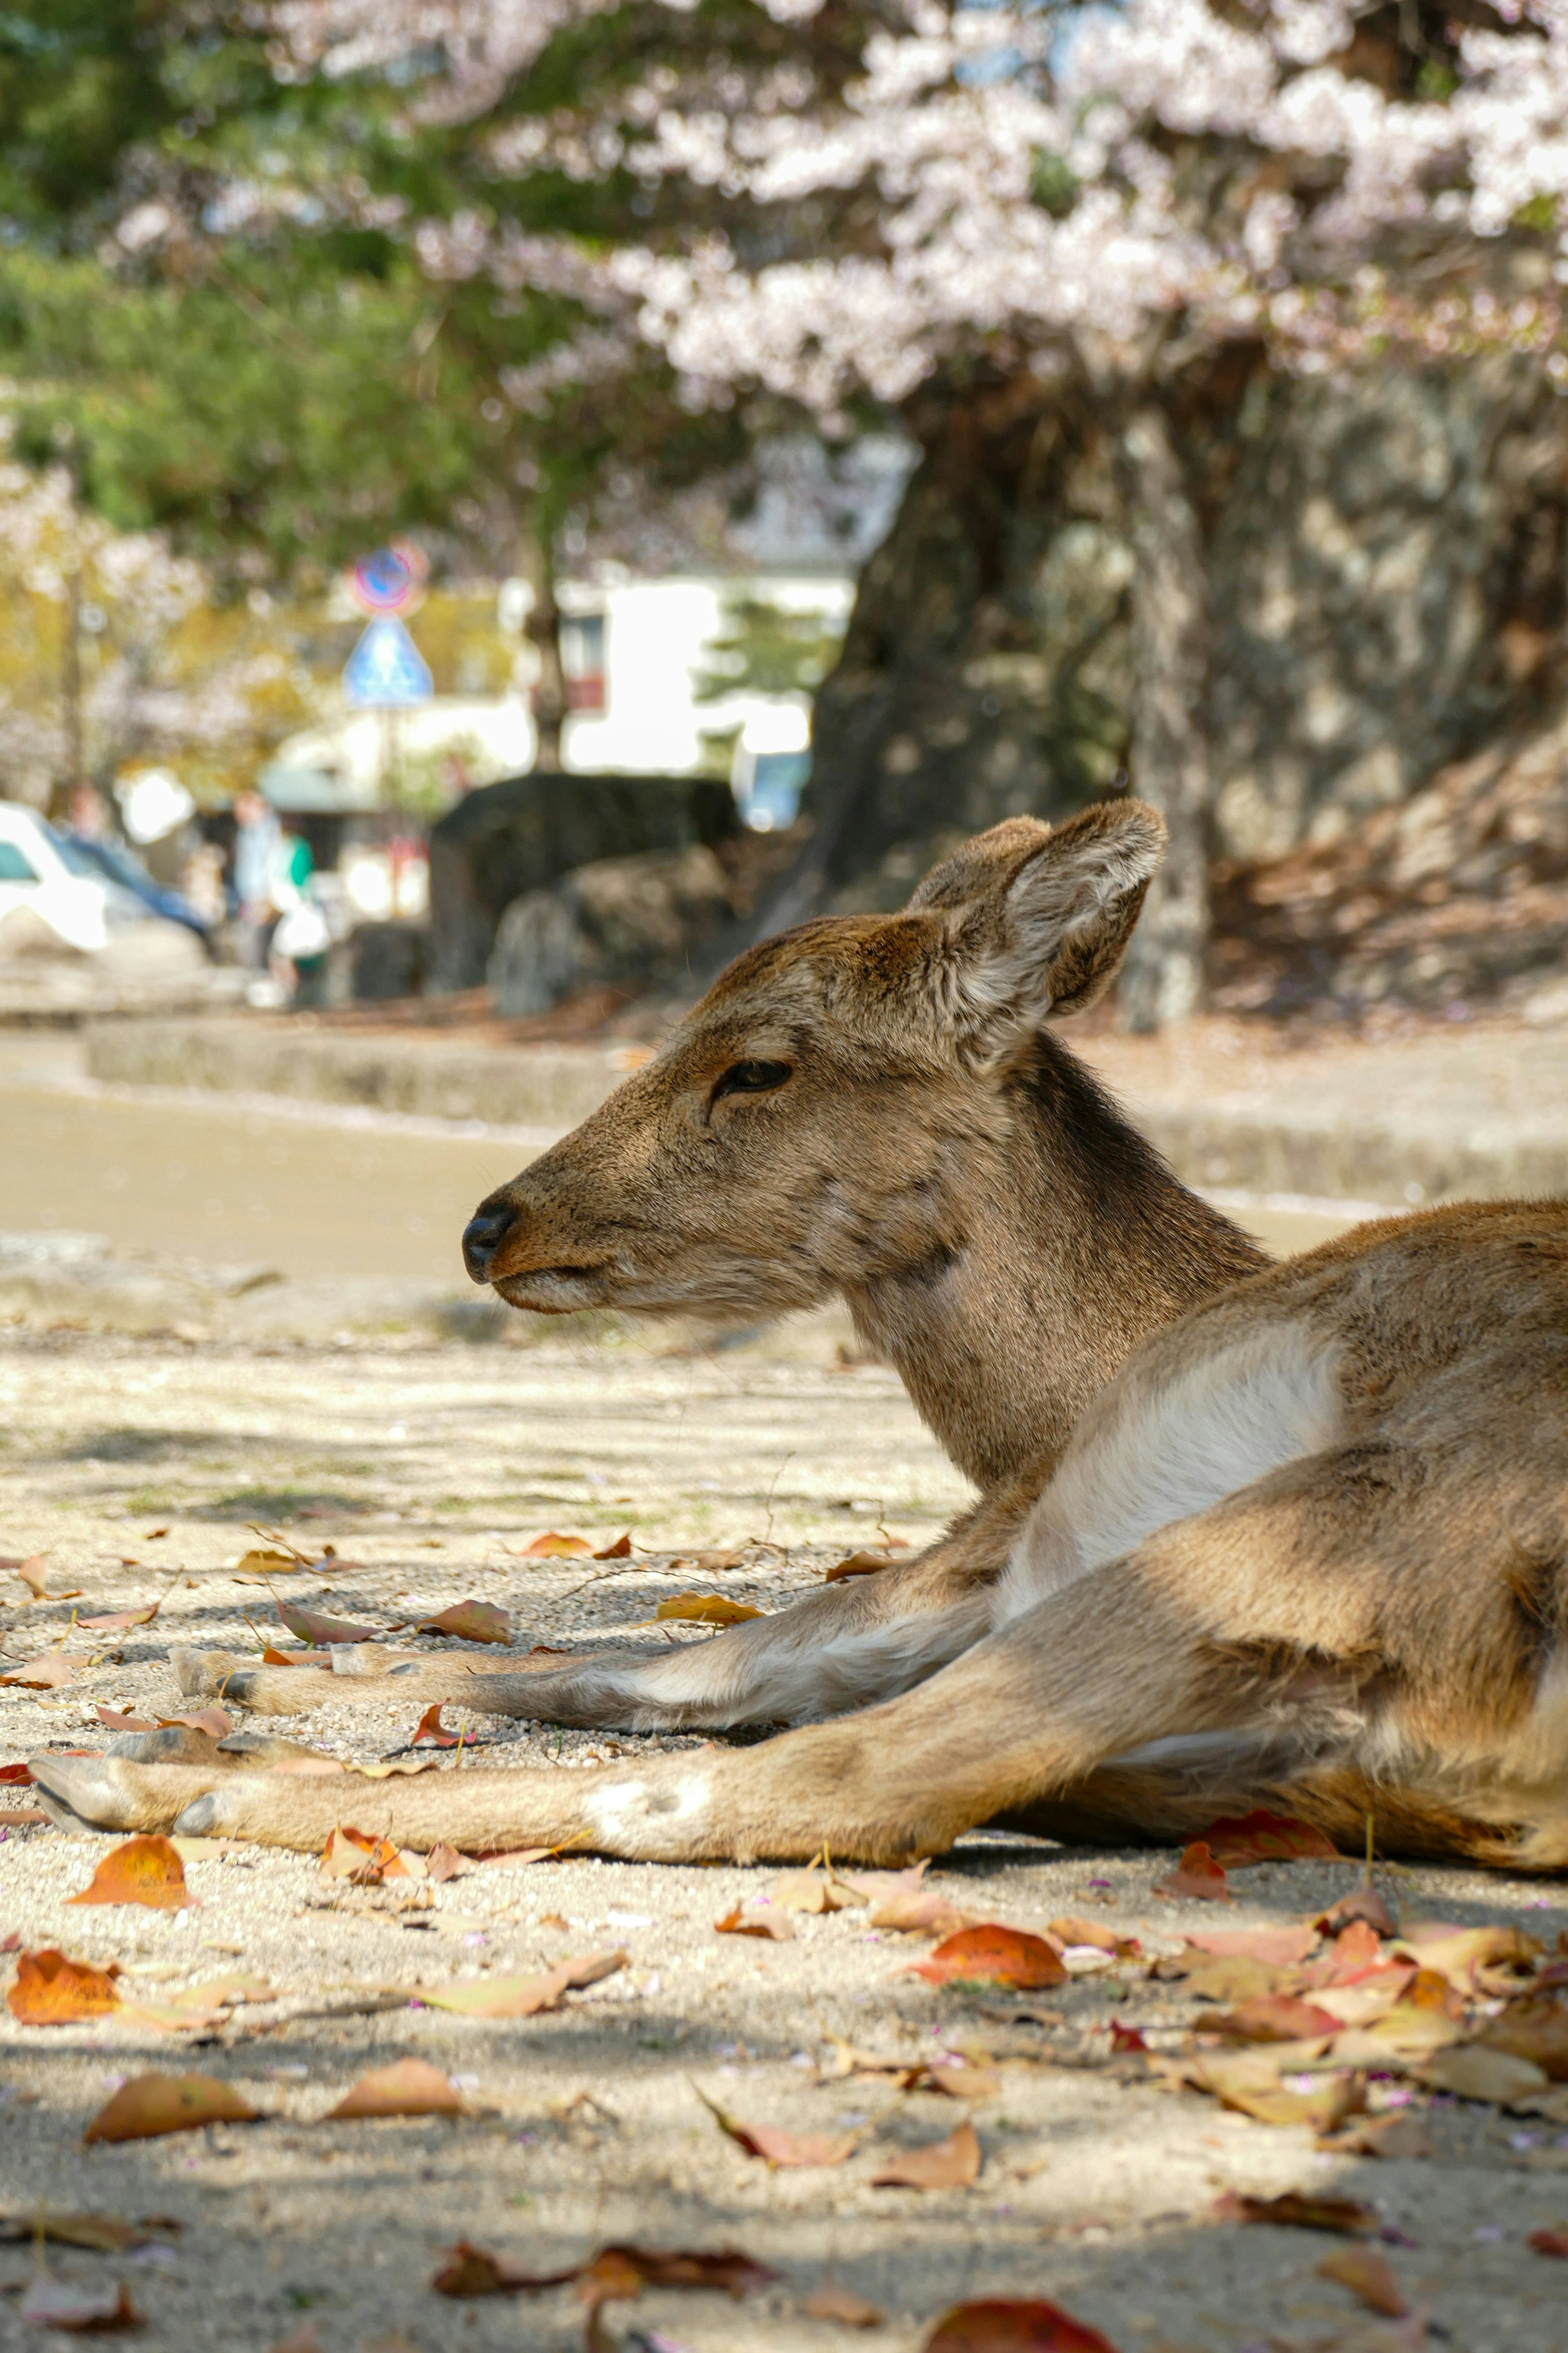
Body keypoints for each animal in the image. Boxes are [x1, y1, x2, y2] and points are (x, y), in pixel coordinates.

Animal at [31, 801, 1568, 1873]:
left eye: (758, 1064)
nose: (490, 1225)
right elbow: (626, 1664)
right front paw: (264, 1657)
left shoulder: (993, 1530)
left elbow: (693, 1662)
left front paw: (247, 1673)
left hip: (1307, 1528)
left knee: (830, 1784)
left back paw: (146, 1777)